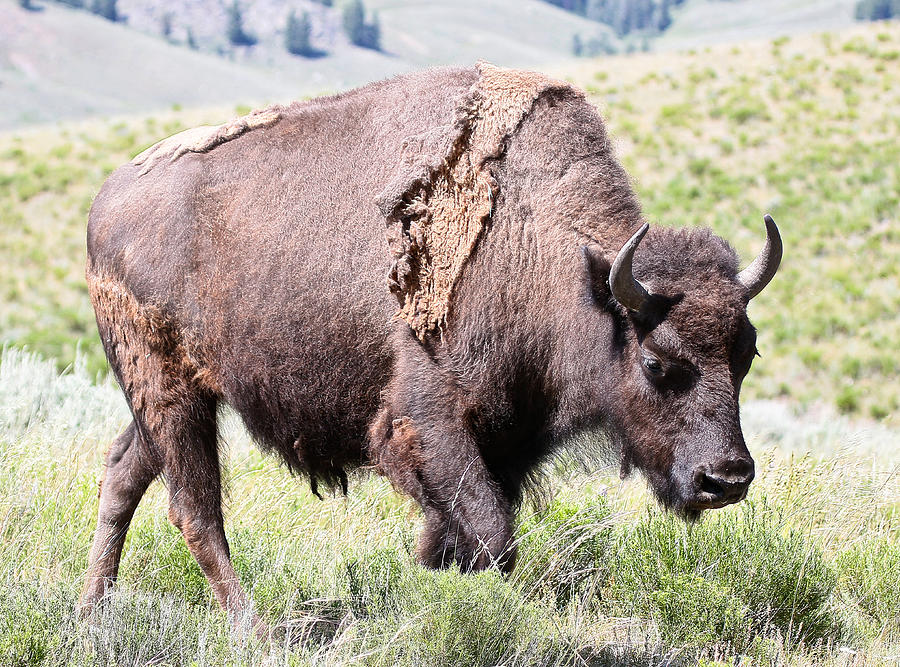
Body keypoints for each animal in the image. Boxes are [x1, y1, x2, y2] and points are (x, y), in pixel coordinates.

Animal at [81, 65, 780, 636]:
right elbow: (493, 534)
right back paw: (253, 632)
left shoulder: (504, 440)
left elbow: (457, 538)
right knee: (195, 511)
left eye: (745, 357)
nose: (726, 478)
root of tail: (106, 199)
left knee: (124, 472)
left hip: (165, 400)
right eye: (658, 363)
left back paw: (93, 614)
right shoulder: (429, 423)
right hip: (169, 389)